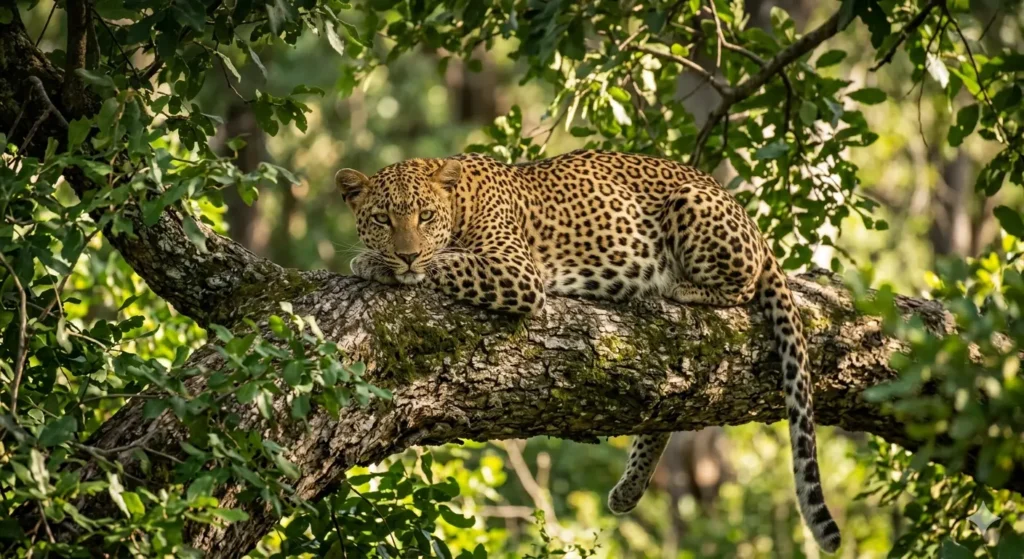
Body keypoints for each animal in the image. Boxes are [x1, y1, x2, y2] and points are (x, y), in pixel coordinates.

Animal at [335, 149, 841, 553]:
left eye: (425, 216)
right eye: (382, 220)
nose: (405, 254)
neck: (460, 201)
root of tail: (747, 215)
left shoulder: (515, 273)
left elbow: (446, 262)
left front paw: (376, 264)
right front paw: (379, 261)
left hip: (694, 206)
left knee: (742, 286)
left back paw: (678, 286)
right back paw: (629, 490)